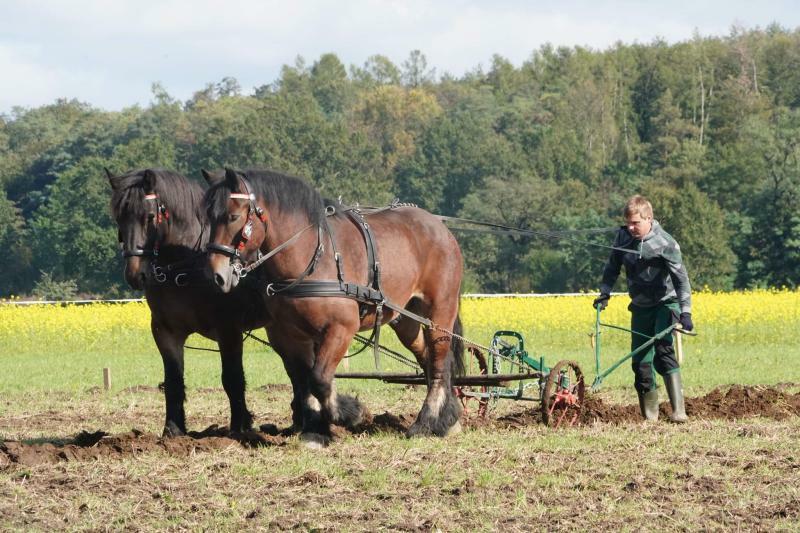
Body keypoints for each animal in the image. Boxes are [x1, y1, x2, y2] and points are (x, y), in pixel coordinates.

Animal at [108, 167, 274, 436]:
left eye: (150, 216)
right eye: (119, 218)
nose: (134, 275)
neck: (187, 267)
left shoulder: (229, 330)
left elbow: (232, 379)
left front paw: (239, 427)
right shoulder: (165, 331)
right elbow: (173, 380)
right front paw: (173, 429)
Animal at [203, 167, 466, 444]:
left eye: (233, 216)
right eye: (209, 217)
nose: (216, 275)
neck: (313, 256)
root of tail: (438, 226)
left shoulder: (342, 328)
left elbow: (319, 378)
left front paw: (351, 413)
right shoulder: (288, 334)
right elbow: (304, 380)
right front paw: (315, 430)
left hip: (439, 312)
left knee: (439, 362)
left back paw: (425, 422)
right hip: (407, 319)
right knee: (430, 360)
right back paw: (448, 418)